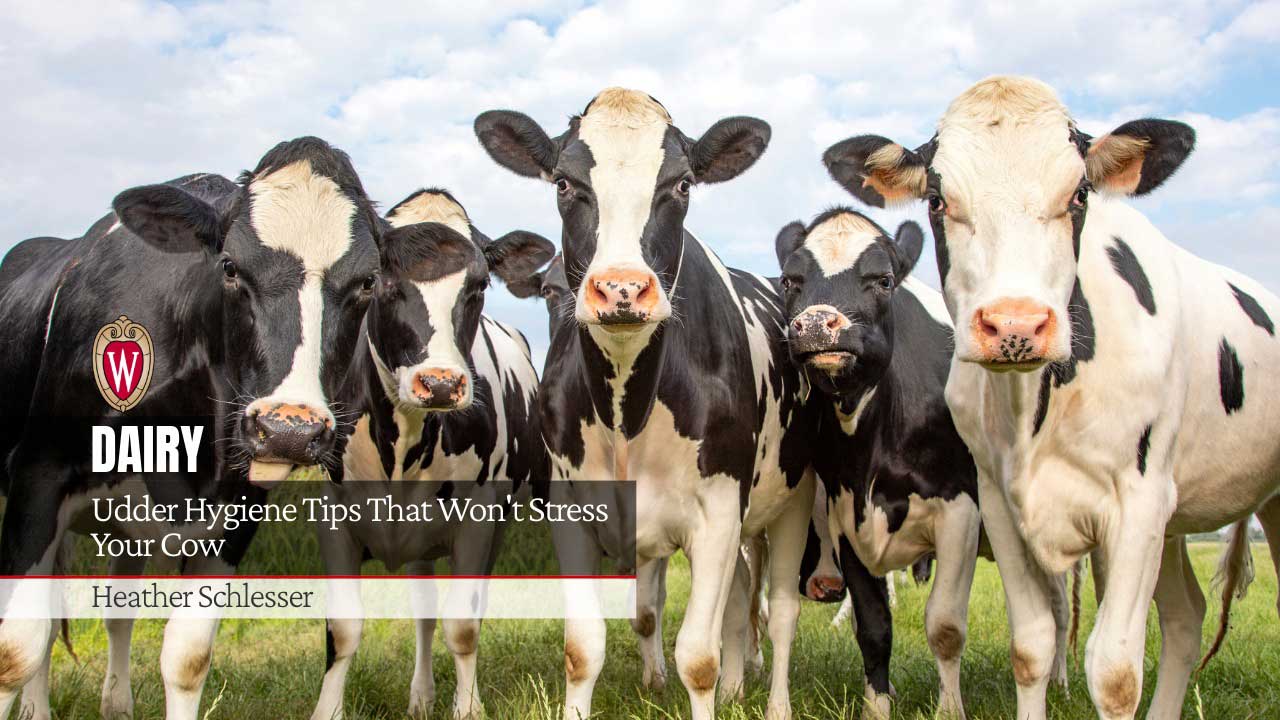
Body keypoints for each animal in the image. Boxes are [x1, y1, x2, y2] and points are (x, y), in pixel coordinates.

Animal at [0, 137, 394, 720]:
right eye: (229, 267)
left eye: (367, 282)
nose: (288, 430)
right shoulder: (38, 473)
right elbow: (16, 645)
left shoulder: (238, 504)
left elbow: (187, 656)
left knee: (112, 611)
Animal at [309, 188, 554, 720]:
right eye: (378, 281)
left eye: (479, 285)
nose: (440, 383)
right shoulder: (334, 514)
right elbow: (343, 627)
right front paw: (328, 710)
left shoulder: (479, 518)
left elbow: (462, 623)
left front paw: (468, 708)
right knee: (422, 609)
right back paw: (421, 695)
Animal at [475, 88, 819, 720]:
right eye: (564, 183)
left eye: (681, 185)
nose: (622, 289)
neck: (626, 410)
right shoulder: (571, 510)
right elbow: (584, 647)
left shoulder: (718, 514)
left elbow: (699, 657)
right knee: (740, 598)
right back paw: (737, 686)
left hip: (794, 498)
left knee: (779, 612)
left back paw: (775, 702)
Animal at [775, 209, 984, 718]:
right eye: (791, 280)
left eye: (883, 280)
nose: (816, 324)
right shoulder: (846, 516)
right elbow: (873, 627)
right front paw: (877, 707)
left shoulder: (960, 511)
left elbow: (945, 625)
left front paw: (950, 710)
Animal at [822, 75, 1280, 719]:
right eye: (937, 200)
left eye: (1079, 194)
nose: (1015, 324)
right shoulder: (999, 502)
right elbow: (1032, 647)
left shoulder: (1138, 505)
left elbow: (1115, 673)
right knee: (1185, 618)